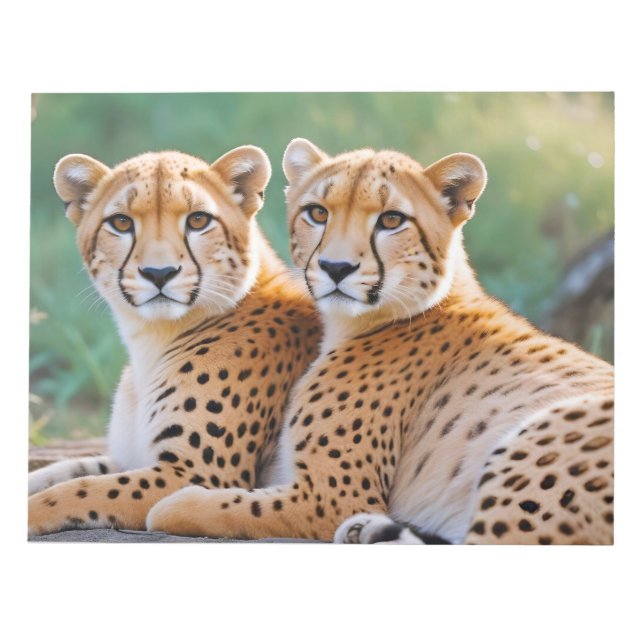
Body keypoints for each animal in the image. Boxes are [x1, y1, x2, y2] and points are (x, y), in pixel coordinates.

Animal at [28, 145, 320, 537]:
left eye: (198, 221)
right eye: (121, 223)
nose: (159, 273)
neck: (152, 340)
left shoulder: (195, 474)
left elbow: (76, 491)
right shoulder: (131, 456)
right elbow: (65, 471)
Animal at [147, 138, 614, 545]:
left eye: (391, 220)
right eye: (318, 213)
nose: (336, 267)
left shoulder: (331, 497)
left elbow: (213, 505)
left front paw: (168, 505)